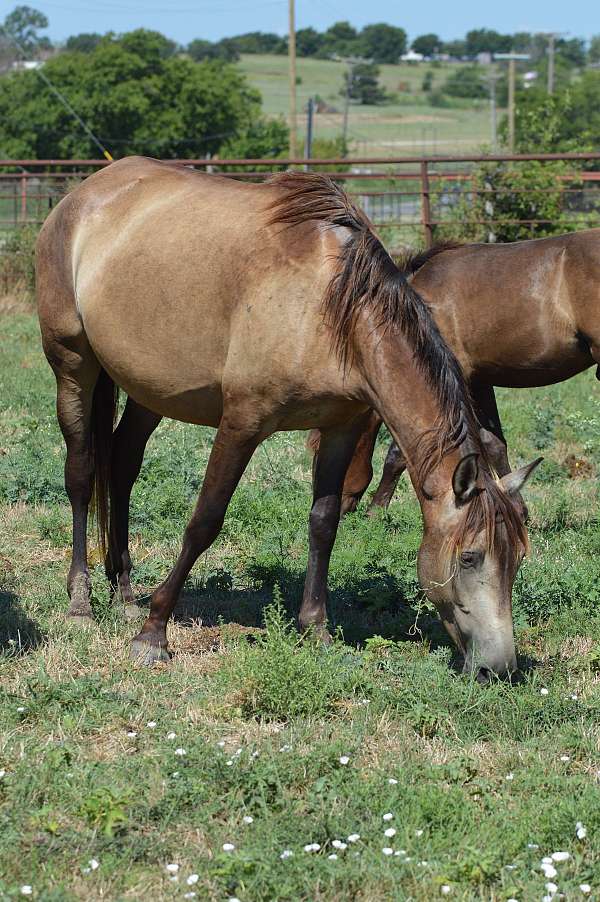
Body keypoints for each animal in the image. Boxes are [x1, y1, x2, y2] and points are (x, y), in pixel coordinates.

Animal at [34, 162, 540, 684]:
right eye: (470, 556)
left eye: (519, 558)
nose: (499, 668)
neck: (332, 311)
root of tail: (83, 194)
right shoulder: (241, 424)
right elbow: (204, 521)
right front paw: (154, 634)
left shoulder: (339, 429)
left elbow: (324, 523)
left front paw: (314, 629)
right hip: (73, 365)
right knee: (81, 472)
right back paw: (81, 601)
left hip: (149, 389)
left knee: (121, 465)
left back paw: (125, 593)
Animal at [324, 233, 600, 516]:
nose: (340, 509)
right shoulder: (477, 381)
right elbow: (493, 443)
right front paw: (515, 507)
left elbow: (399, 453)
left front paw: (376, 511)